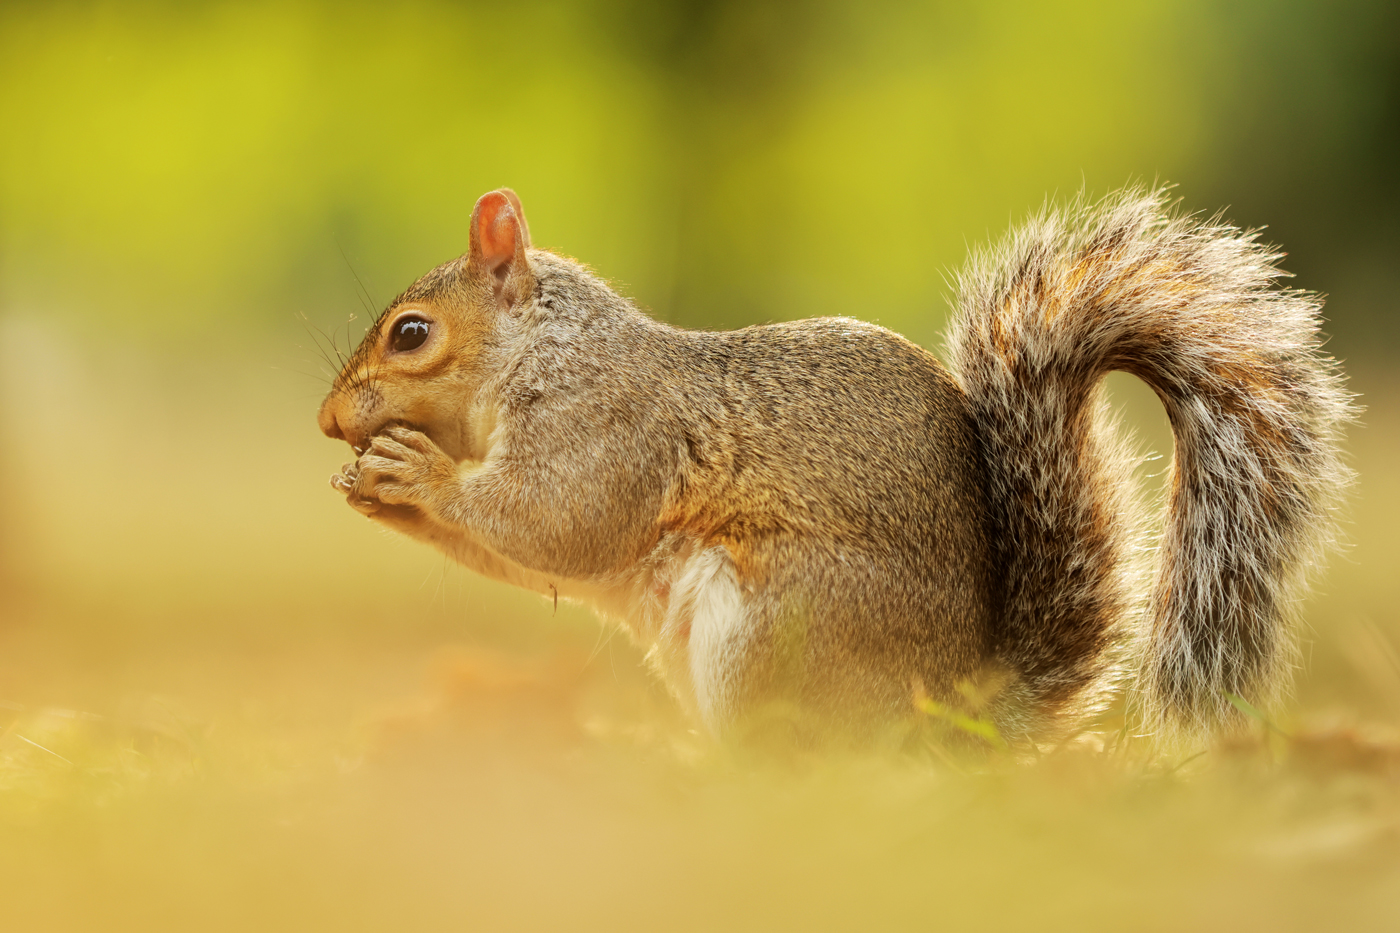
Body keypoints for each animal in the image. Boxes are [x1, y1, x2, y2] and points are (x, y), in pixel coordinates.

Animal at [317, 186, 1353, 744]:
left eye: (412, 334)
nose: (328, 420)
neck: (543, 350)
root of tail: (949, 718)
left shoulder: (606, 428)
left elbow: (555, 521)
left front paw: (415, 473)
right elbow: (521, 554)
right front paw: (375, 490)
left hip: (773, 631)